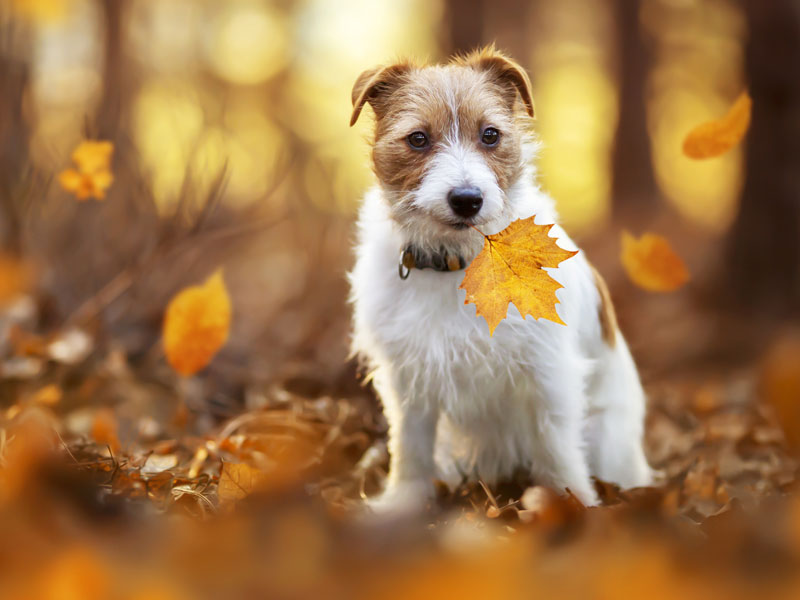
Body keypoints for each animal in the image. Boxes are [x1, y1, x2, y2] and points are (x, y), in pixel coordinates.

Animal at [348, 45, 648, 510]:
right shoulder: (408, 378)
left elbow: (557, 448)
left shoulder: (548, 372)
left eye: (490, 135)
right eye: (418, 138)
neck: (462, 262)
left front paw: (572, 504)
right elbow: (411, 447)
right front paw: (403, 504)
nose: (467, 199)